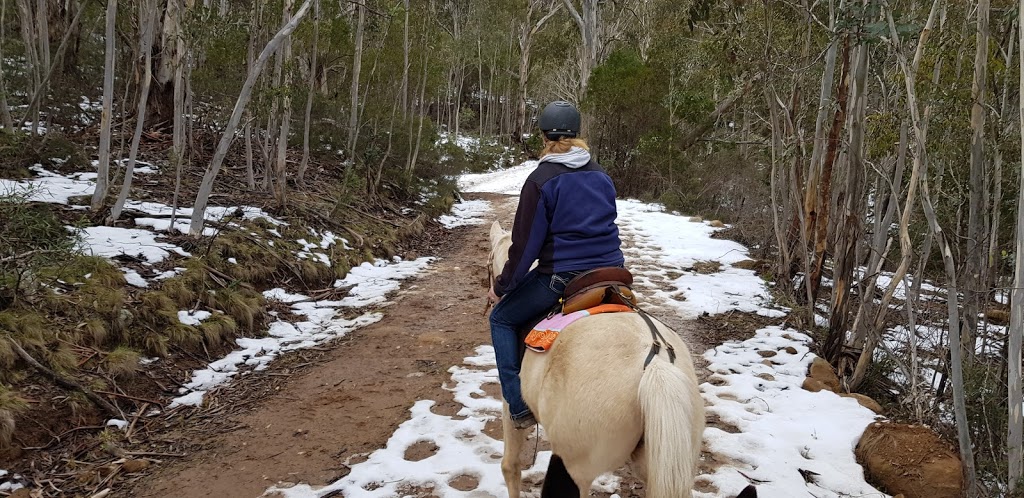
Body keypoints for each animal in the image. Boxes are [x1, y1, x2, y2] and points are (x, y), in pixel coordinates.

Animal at [487, 222, 753, 498]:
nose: (493, 294)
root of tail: (655, 366)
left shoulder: (511, 405)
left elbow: (510, 466)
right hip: (665, 461)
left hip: (574, 467)